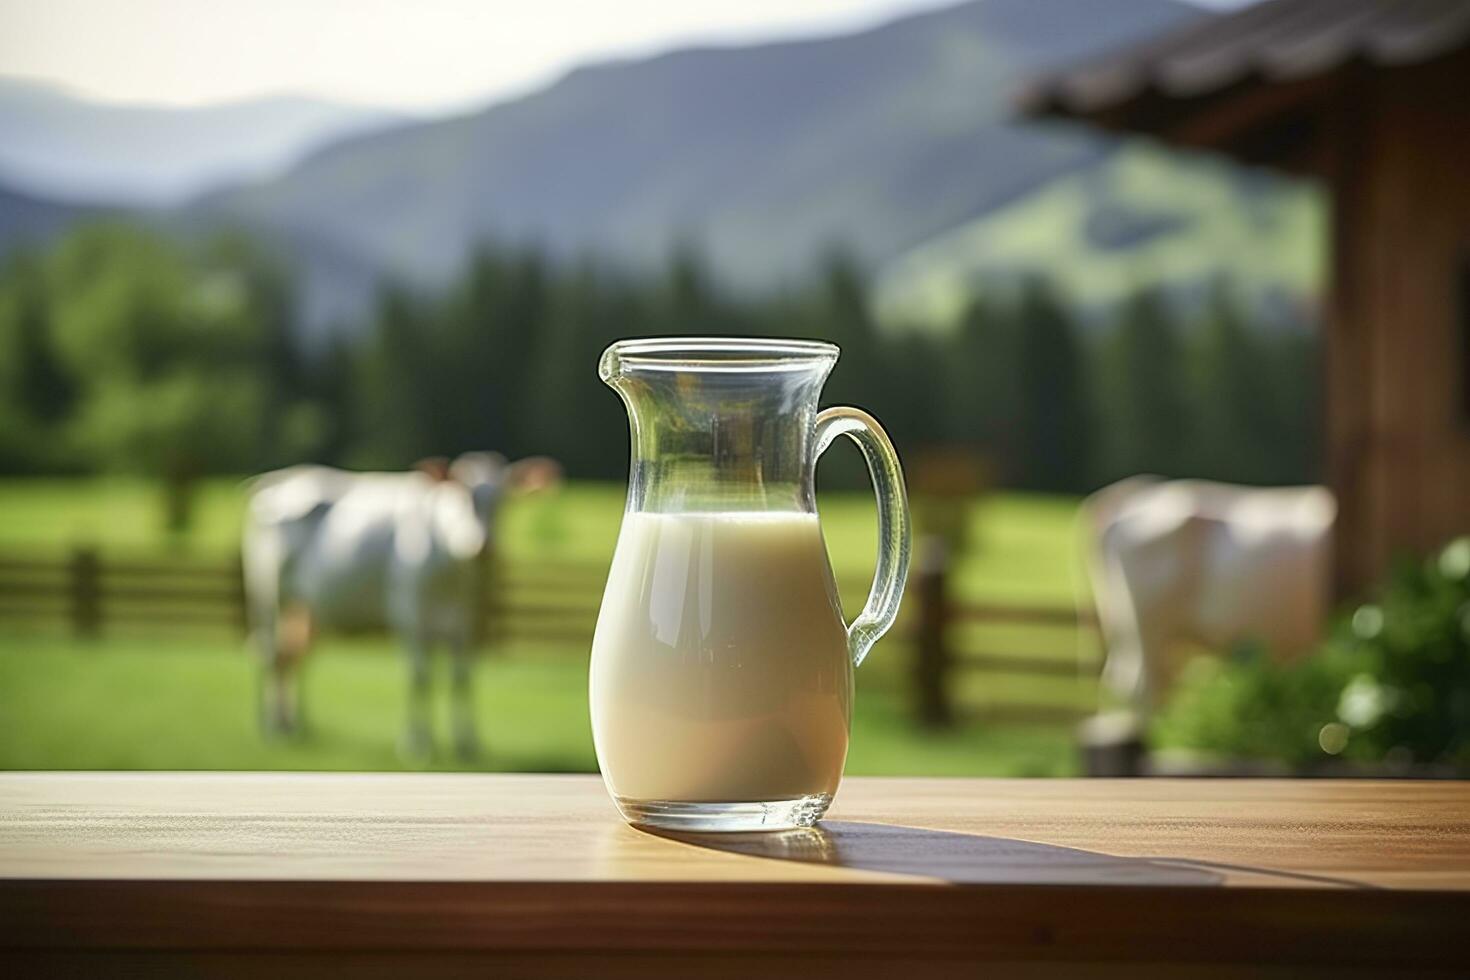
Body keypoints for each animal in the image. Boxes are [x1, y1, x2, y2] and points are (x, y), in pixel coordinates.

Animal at [241, 455, 561, 764]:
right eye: (460, 493)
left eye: (503, 499)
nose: (482, 547)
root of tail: (277, 481)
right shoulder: (410, 615)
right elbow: (420, 677)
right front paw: (418, 744)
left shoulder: (466, 624)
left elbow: (461, 678)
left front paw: (466, 744)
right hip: (268, 594)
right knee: (270, 652)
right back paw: (270, 727)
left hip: (306, 608)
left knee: (294, 656)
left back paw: (295, 725)